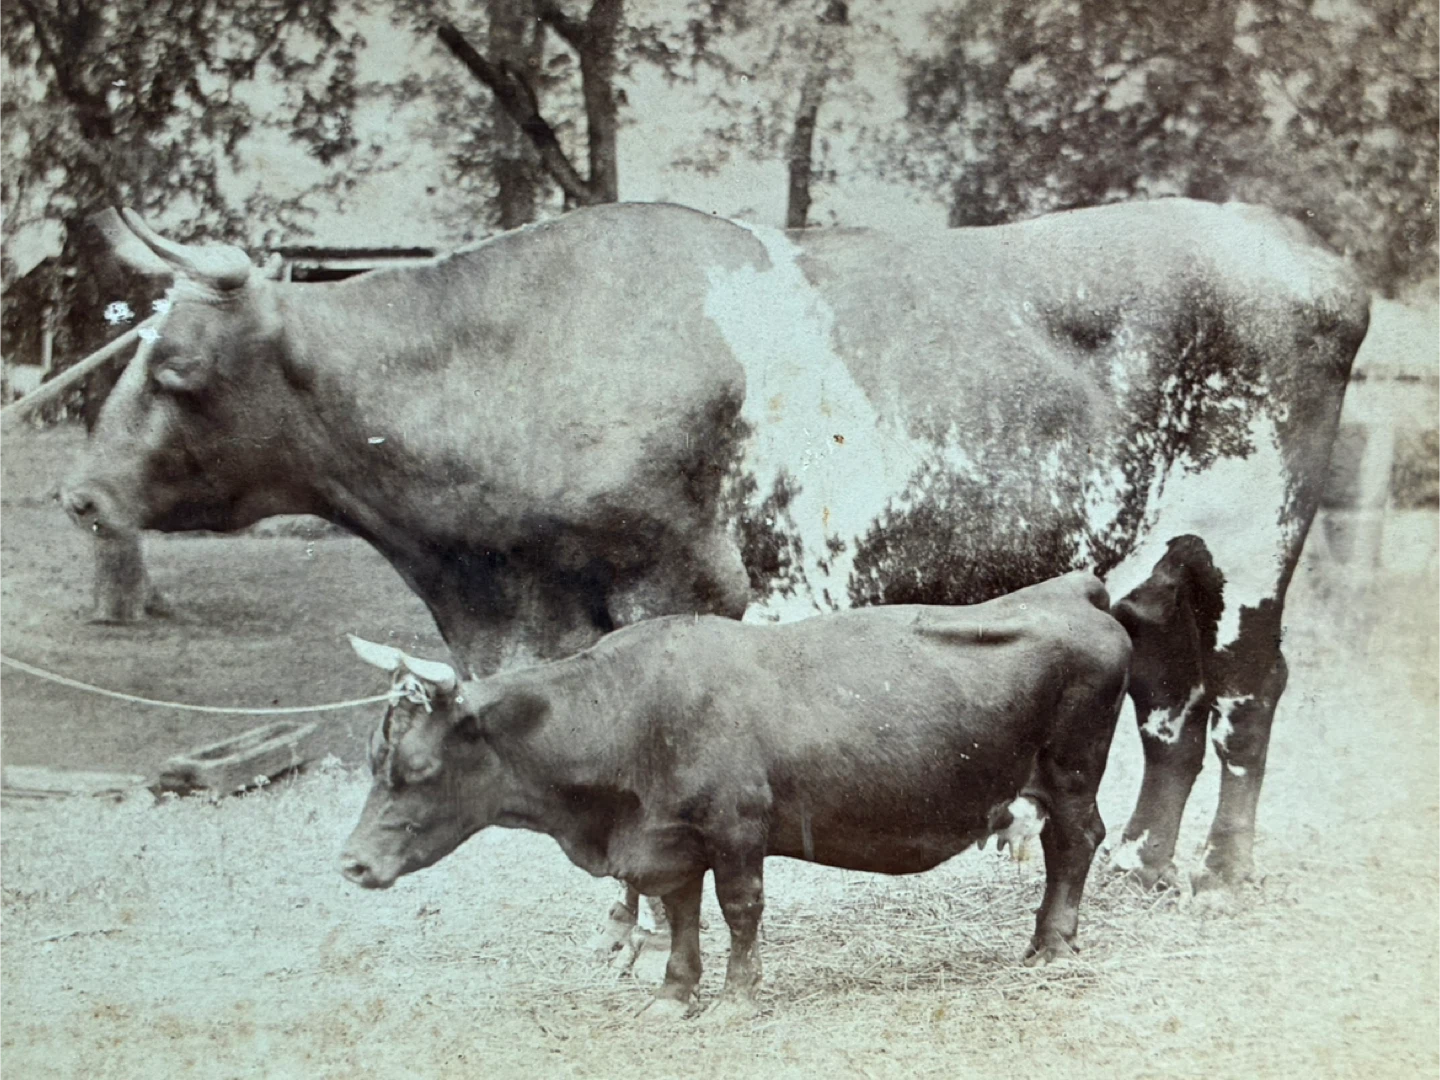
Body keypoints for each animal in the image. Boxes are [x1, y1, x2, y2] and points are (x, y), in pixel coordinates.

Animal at [62, 199, 1368, 936]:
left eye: (174, 370)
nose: (81, 494)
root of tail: (1310, 257)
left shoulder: (678, 586)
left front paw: (644, 927)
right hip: (1154, 564)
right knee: (1170, 706)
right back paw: (1149, 858)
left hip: (1255, 543)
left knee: (1245, 695)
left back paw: (1219, 870)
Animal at [340, 571, 1132, 1018]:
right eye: (375, 756)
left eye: (418, 767)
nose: (350, 863)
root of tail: (1069, 590)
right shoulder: (671, 841)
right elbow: (680, 915)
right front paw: (672, 995)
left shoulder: (737, 828)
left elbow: (739, 910)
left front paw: (736, 999)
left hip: (1072, 769)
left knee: (1076, 843)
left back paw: (1052, 945)